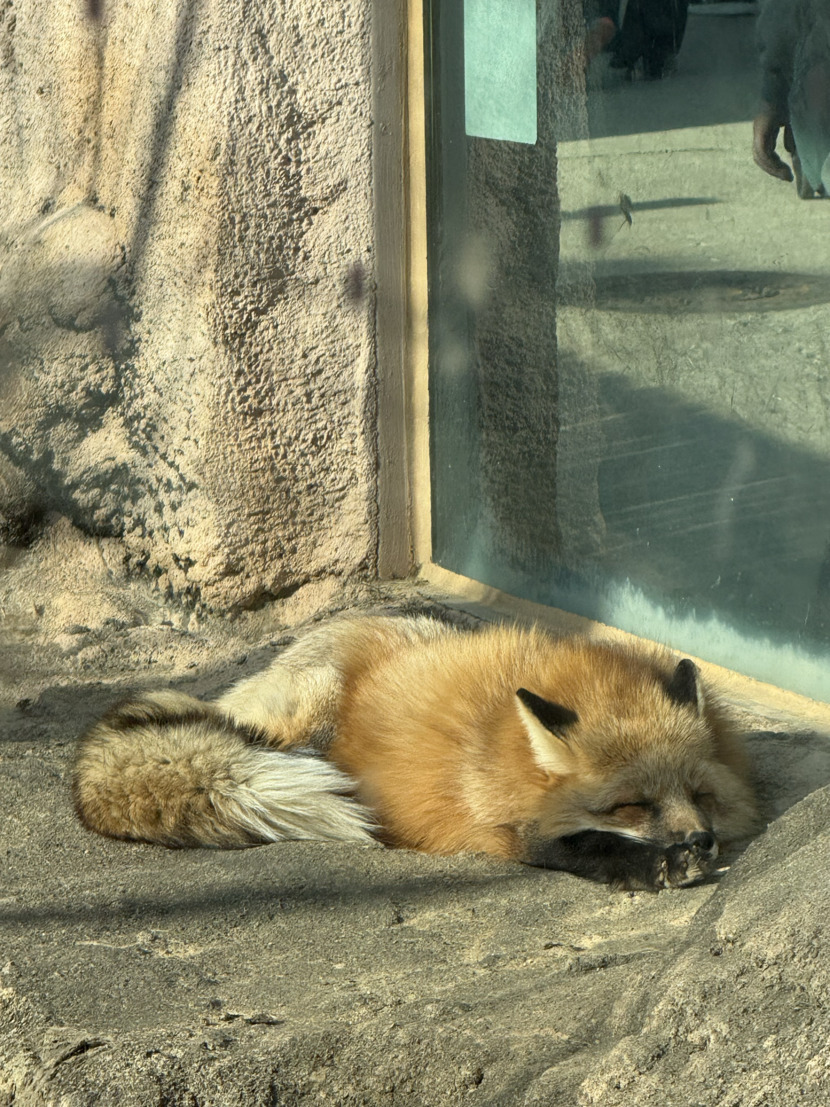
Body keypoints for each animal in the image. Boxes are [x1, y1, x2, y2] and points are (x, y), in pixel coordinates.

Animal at [72, 614, 758, 890]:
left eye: (700, 794)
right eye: (630, 806)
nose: (700, 842)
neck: (501, 743)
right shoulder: (492, 822)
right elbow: (573, 845)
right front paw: (653, 865)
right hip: (308, 713)